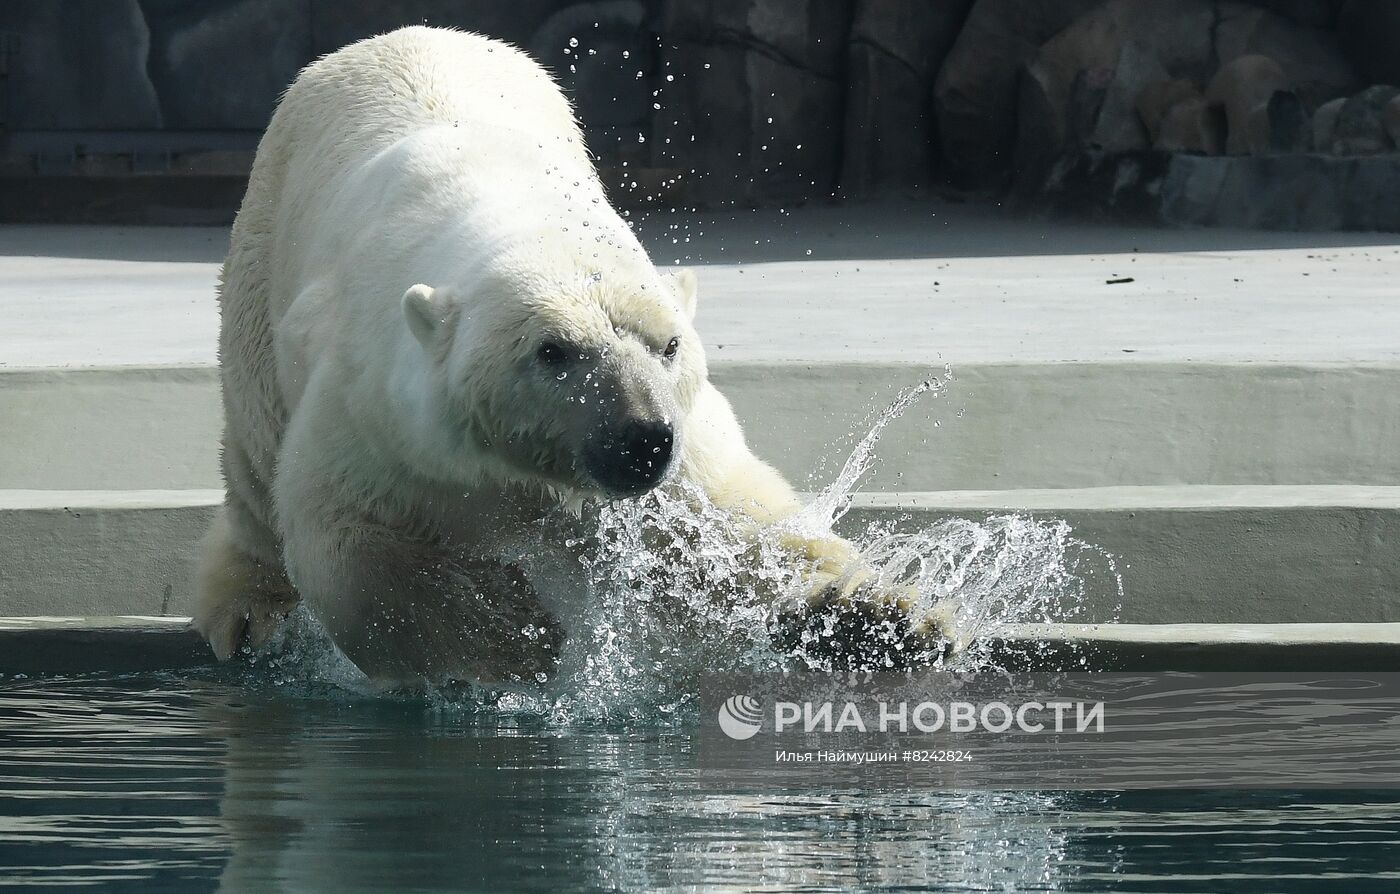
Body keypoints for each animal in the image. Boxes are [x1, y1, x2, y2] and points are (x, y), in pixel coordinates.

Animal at [194, 27, 940, 685]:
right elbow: (347, 541)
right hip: (262, 265)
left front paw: (886, 622)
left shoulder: (686, 439)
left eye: (669, 345)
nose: (642, 438)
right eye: (554, 351)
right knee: (257, 457)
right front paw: (515, 644)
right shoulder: (379, 408)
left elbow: (739, 520)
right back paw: (244, 617)